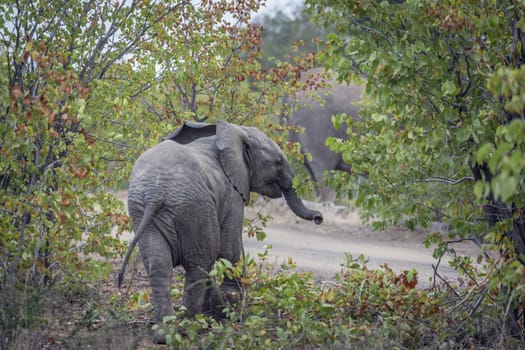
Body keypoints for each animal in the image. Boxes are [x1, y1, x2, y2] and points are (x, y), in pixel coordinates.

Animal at [118, 121, 322, 344]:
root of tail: (156, 192)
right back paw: (188, 326)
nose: (319, 218)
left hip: (144, 211)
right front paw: (229, 305)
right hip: (194, 208)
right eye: (278, 161)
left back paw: (165, 335)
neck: (237, 131)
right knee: (200, 262)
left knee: (159, 265)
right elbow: (229, 246)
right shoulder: (233, 192)